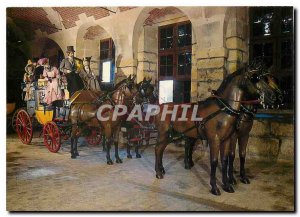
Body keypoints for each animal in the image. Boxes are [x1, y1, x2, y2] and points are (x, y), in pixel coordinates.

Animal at [155, 67, 278, 195]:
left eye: (265, 78)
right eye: (255, 78)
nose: (273, 97)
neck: (224, 110)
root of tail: (161, 106)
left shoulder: (229, 138)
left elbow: (226, 159)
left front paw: (227, 185)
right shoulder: (215, 140)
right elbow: (214, 161)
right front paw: (215, 187)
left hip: (175, 135)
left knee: (166, 149)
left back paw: (164, 169)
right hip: (164, 134)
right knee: (158, 149)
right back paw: (158, 172)